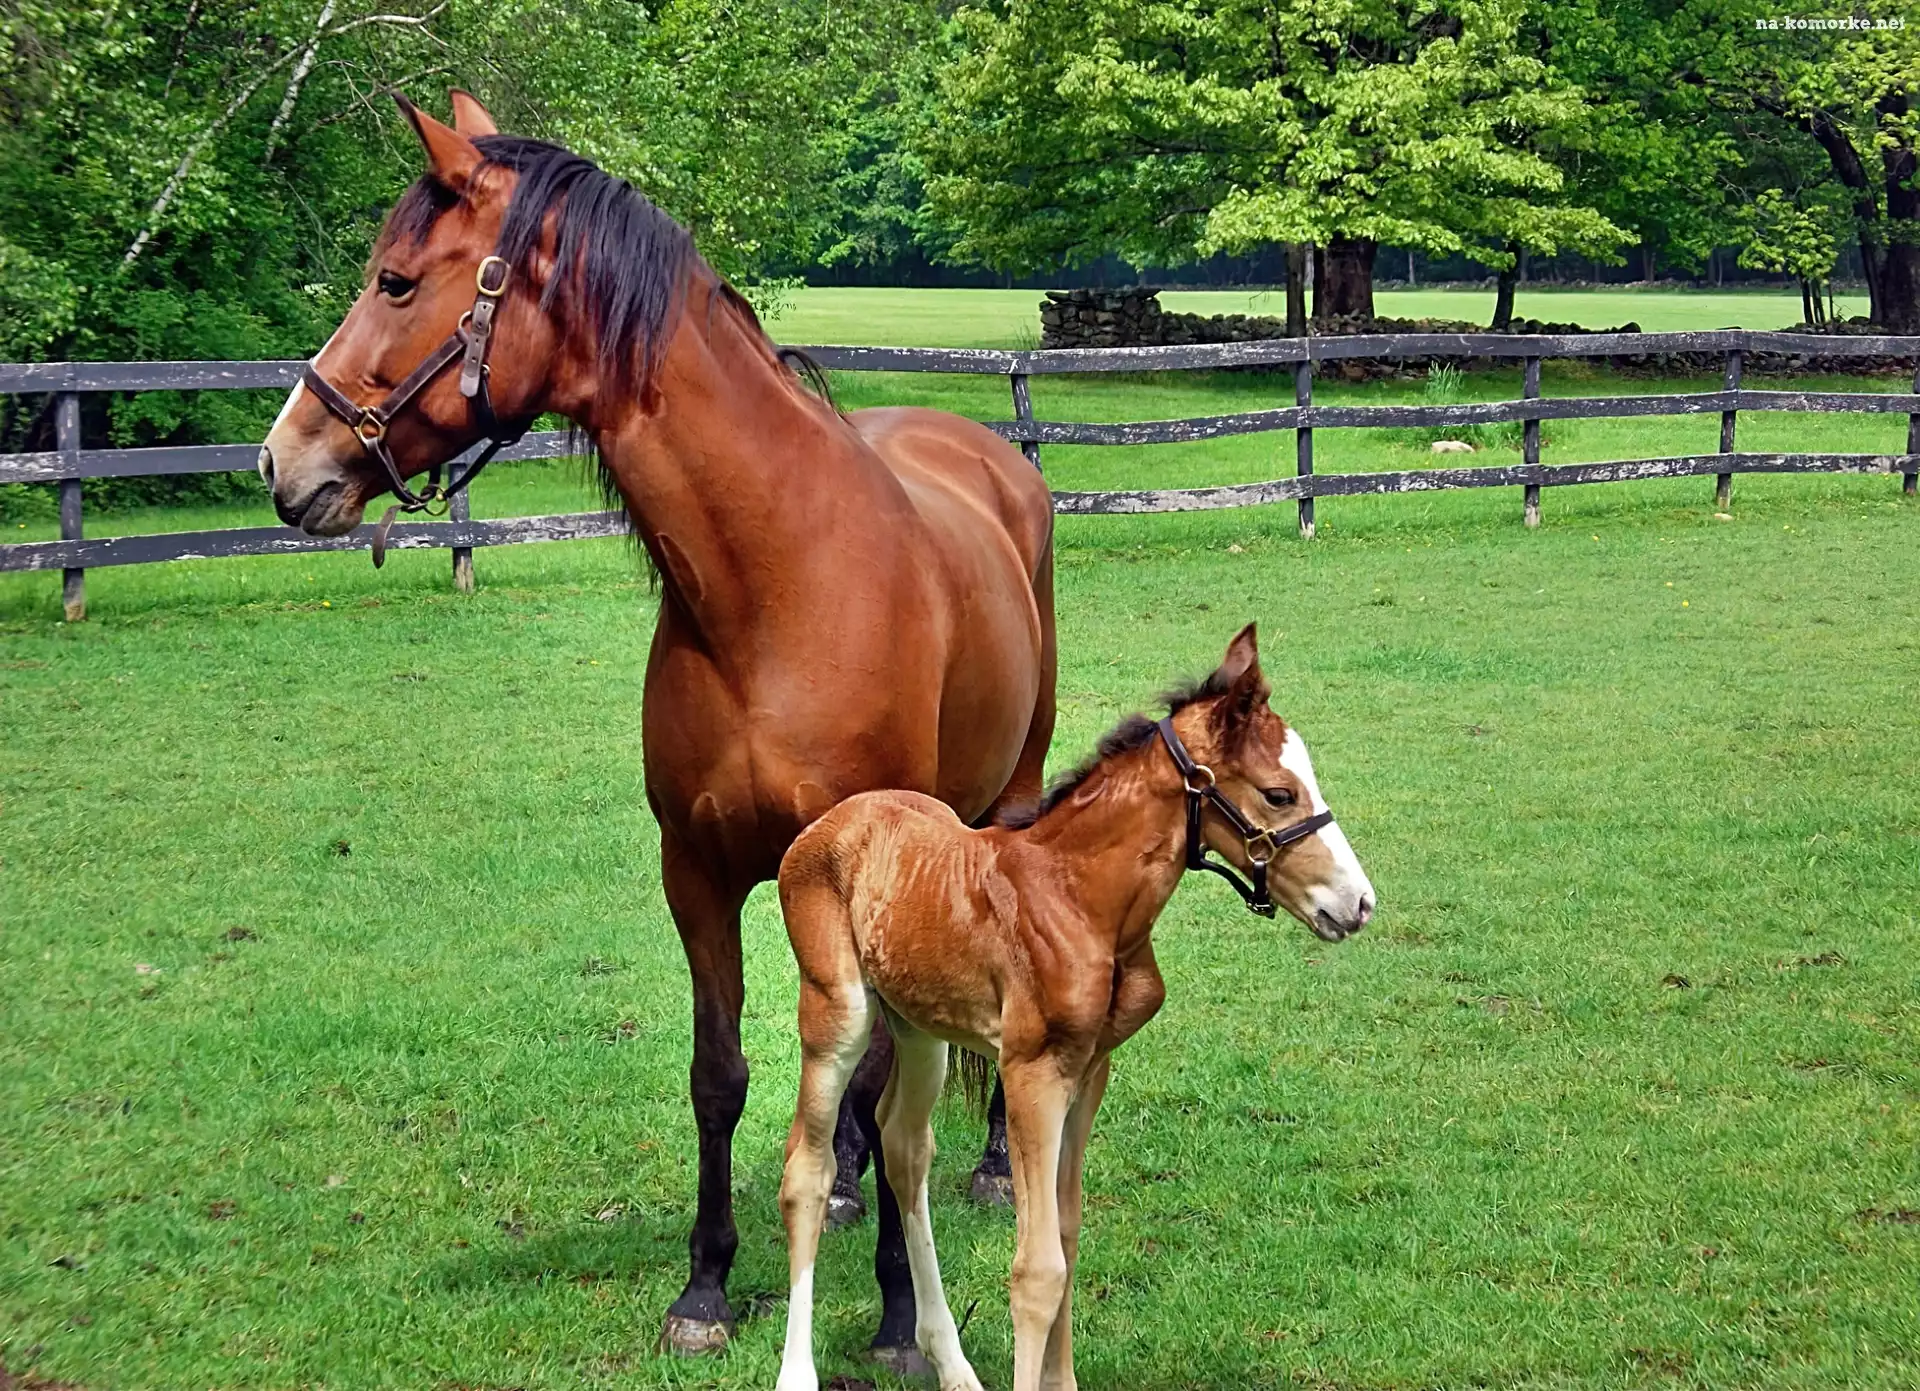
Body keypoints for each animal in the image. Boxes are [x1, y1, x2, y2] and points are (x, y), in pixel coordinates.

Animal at [255, 91, 1056, 1361]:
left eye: (394, 280)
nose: (282, 461)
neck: (777, 582)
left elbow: (886, 1084)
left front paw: (893, 1312)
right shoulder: (698, 871)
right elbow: (720, 1073)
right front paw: (706, 1286)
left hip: (1005, 806)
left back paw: (980, 1170)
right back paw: (841, 1180)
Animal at [773, 624, 1374, 1391]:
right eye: (1278, 792)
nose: (1358, 902)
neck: (1080, 898)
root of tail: (829, 821)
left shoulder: (1091, 1069)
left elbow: (1065, 1229)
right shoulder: (1033, 1069)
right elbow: (1038, 1267)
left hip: (919, 1027)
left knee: (905, 1148)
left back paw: (953, 1364)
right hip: (838, 1011)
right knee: (808, 1170)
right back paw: (799, 1372)